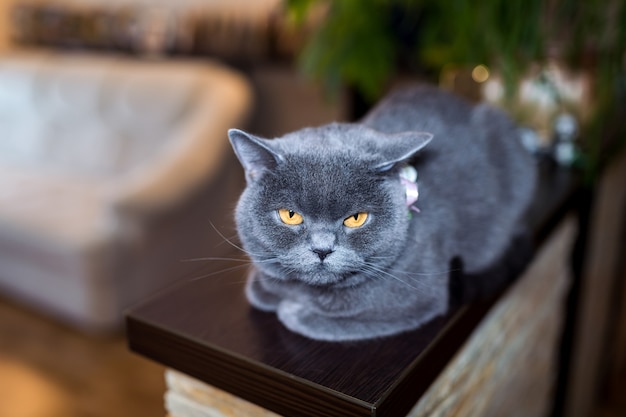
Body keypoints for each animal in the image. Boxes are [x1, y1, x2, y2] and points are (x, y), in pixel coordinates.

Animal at [227, 85, 532, 342]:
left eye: (356, 218)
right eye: (290, 215)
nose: (322, 249)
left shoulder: (417, 298)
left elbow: (341, 319)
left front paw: (294, 311)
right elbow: (259, 289)